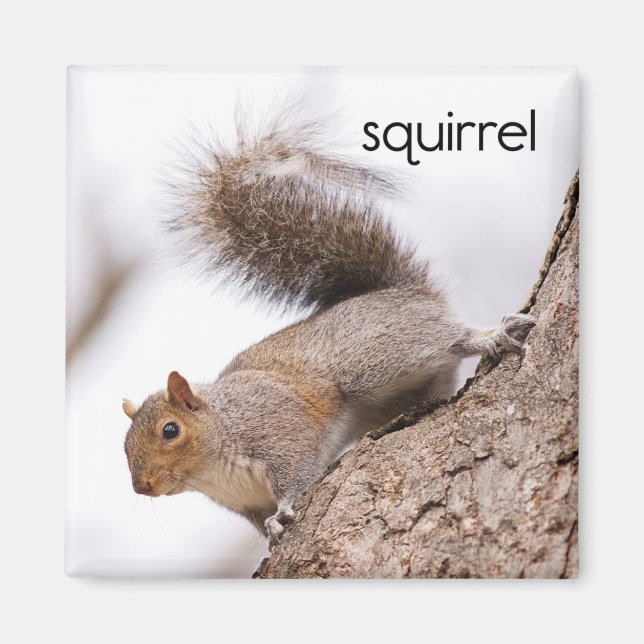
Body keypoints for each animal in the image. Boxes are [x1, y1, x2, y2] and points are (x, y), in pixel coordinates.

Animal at [122, 103, 535, 547]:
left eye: (170, 431)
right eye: (124, 446)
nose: (141, 486)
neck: (214, 461)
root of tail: (406, 292)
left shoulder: (280, 428)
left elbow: (294, 474)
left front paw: (283, 514)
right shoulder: (245, 504)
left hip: (379, 355)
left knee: (449, 339)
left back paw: (491, 336)